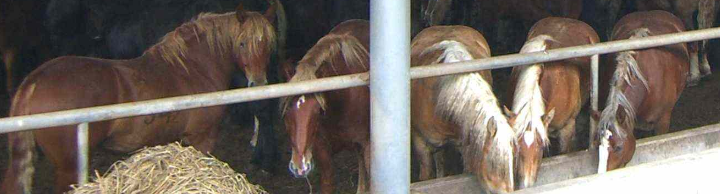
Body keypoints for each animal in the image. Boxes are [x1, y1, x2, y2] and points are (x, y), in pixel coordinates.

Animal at [0, 4, 278, 194]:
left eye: (268, 45)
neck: (193, 67)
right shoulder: (202, 139)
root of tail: (36, 78)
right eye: (242, 43)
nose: (258, 83)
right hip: (68, 167)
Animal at [282, 18, 372, 194]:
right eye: (288, 109)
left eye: (318, 110)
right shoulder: (322, 151)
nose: (300, 167)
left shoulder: (367, 145)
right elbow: (327, 183)